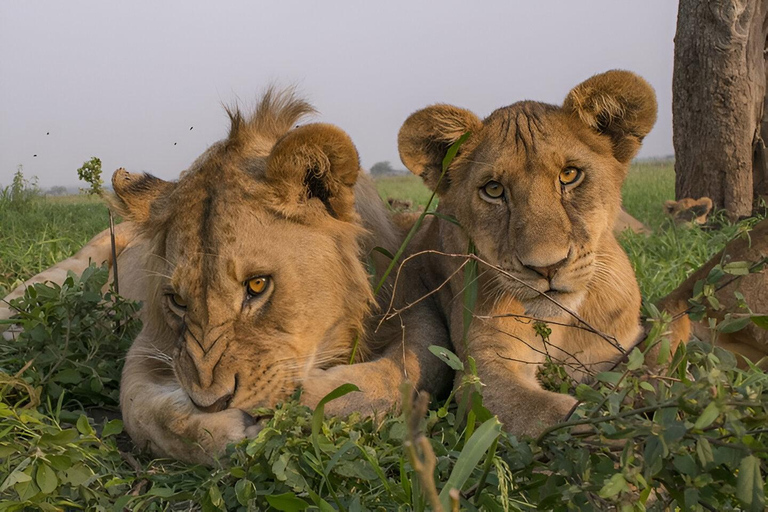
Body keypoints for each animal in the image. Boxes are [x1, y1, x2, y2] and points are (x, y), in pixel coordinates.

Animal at [0, 89, 452, 464]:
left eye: (257, 285)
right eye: (177, 300)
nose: (211, 403)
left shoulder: (413, 308)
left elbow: (403, 372)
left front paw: (308, 400)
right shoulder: (150, 344)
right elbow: (141, 411)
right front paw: (220, 430)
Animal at [400, 68, 656, 436]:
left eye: (569, 174)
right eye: (493, 189)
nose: (547, 267)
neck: (562, 323)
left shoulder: (619, 344)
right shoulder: (481, 368)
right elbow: (548, 413)